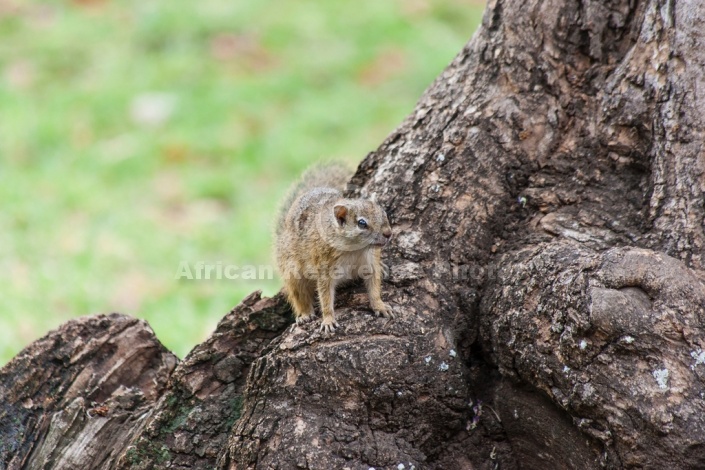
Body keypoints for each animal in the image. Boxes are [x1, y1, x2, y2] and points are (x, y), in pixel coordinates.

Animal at [276, 163, 394, 332]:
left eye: (383, 213)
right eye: (361, 223)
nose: (388, 234)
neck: (355, 249)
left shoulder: (370, 262)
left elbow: (374, 287)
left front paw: (380, 305)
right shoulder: (324, 266)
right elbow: (325, 296)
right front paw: (328, 319)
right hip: (292, 270)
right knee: (299, 295)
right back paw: (305, 314)